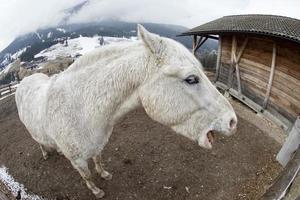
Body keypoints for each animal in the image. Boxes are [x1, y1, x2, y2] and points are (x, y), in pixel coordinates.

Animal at [15, 24, 237, 197]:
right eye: (191, 79)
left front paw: (104, 174)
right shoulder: (78, 160)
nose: (232, 121)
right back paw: (45, 153)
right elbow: (87, 175)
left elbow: (99, 160)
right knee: (39, 142)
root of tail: (25, 80)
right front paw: (96, 190)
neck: (80, 109)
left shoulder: (97, 145)